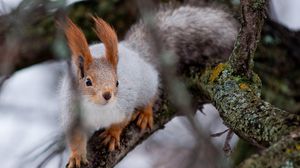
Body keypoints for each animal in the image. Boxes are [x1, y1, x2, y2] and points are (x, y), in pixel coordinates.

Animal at [59, 3, 237, 168]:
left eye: (117, 82)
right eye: (88, 82)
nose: (107, 95)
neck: (97, 108)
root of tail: (134, 51)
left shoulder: (125, 104)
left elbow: (121, 122)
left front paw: (112, 134)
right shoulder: (72, 114)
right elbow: (75, 138)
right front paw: (76, 156)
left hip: (147, 84)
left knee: (151, 94)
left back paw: (145, 113)